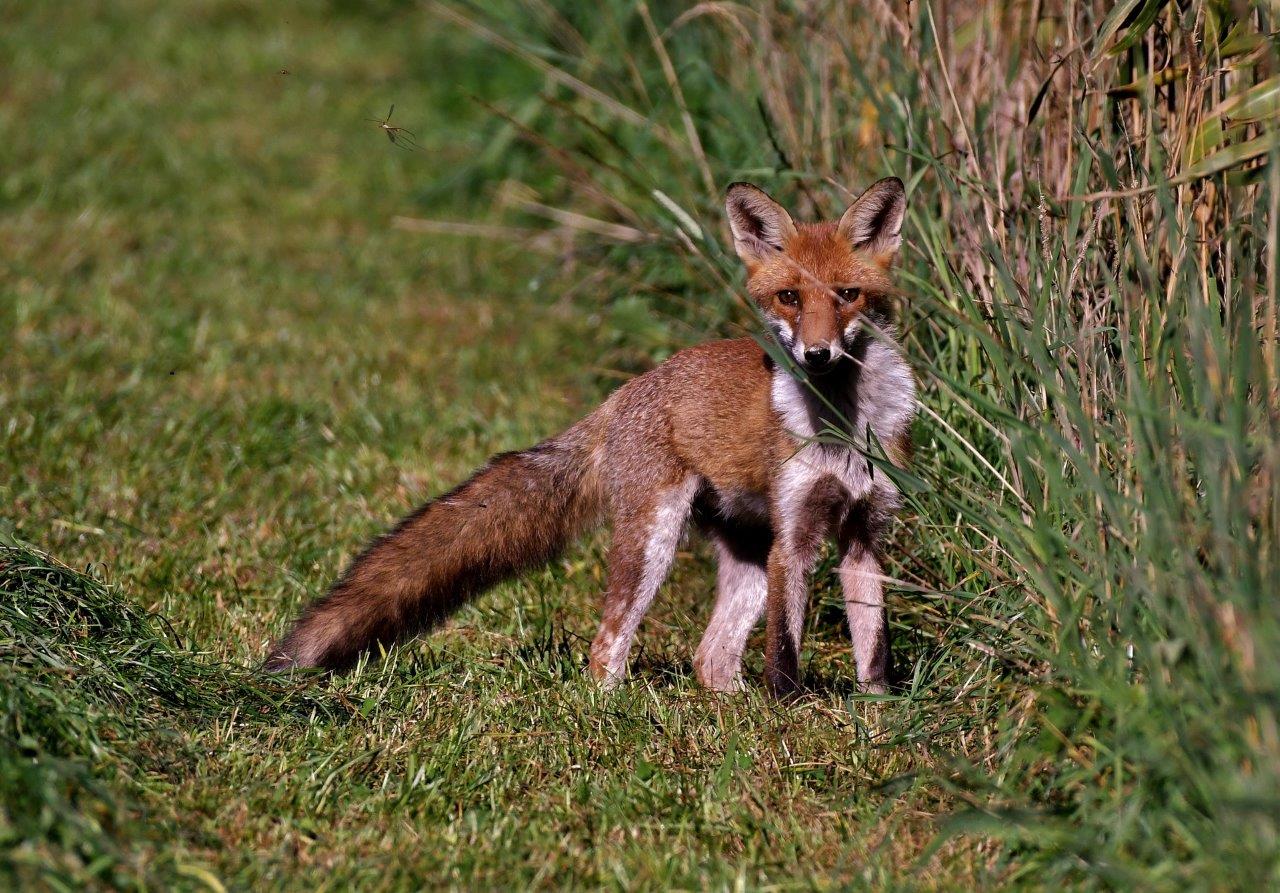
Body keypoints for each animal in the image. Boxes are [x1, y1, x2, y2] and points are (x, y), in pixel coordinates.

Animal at [264, 175, 916, 695]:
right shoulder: (795, 536)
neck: (845, 428)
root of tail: (622, 394)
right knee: (606, 648)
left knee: (709, 659)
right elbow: (783, 653)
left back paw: (727, 707)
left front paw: (877, 715)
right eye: (789, 297)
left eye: (848, 296)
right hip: (656, 540)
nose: (816, 354)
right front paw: (785, 714)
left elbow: (874, 649)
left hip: (748, 558)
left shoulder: (864, 534)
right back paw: (615, 710)